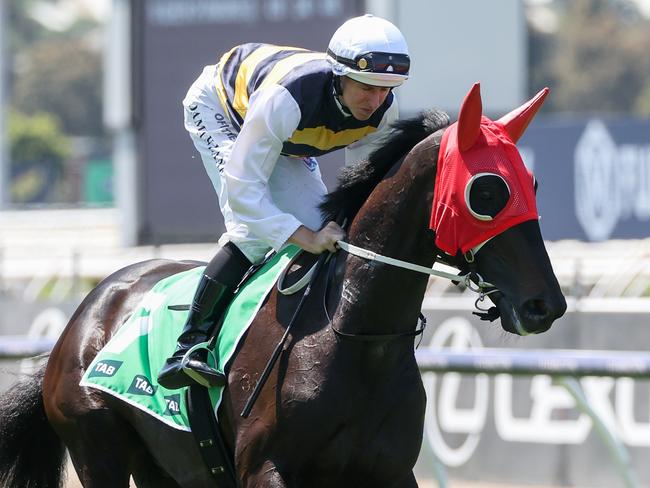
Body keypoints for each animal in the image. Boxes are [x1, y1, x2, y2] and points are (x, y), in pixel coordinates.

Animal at [0, 85, 560, 488]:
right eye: (486, 191)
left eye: (532, 184)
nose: (545, 305)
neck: (352, 336)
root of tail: (83, 316)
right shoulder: (265, 469)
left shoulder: (391, 472)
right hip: (98, 448)